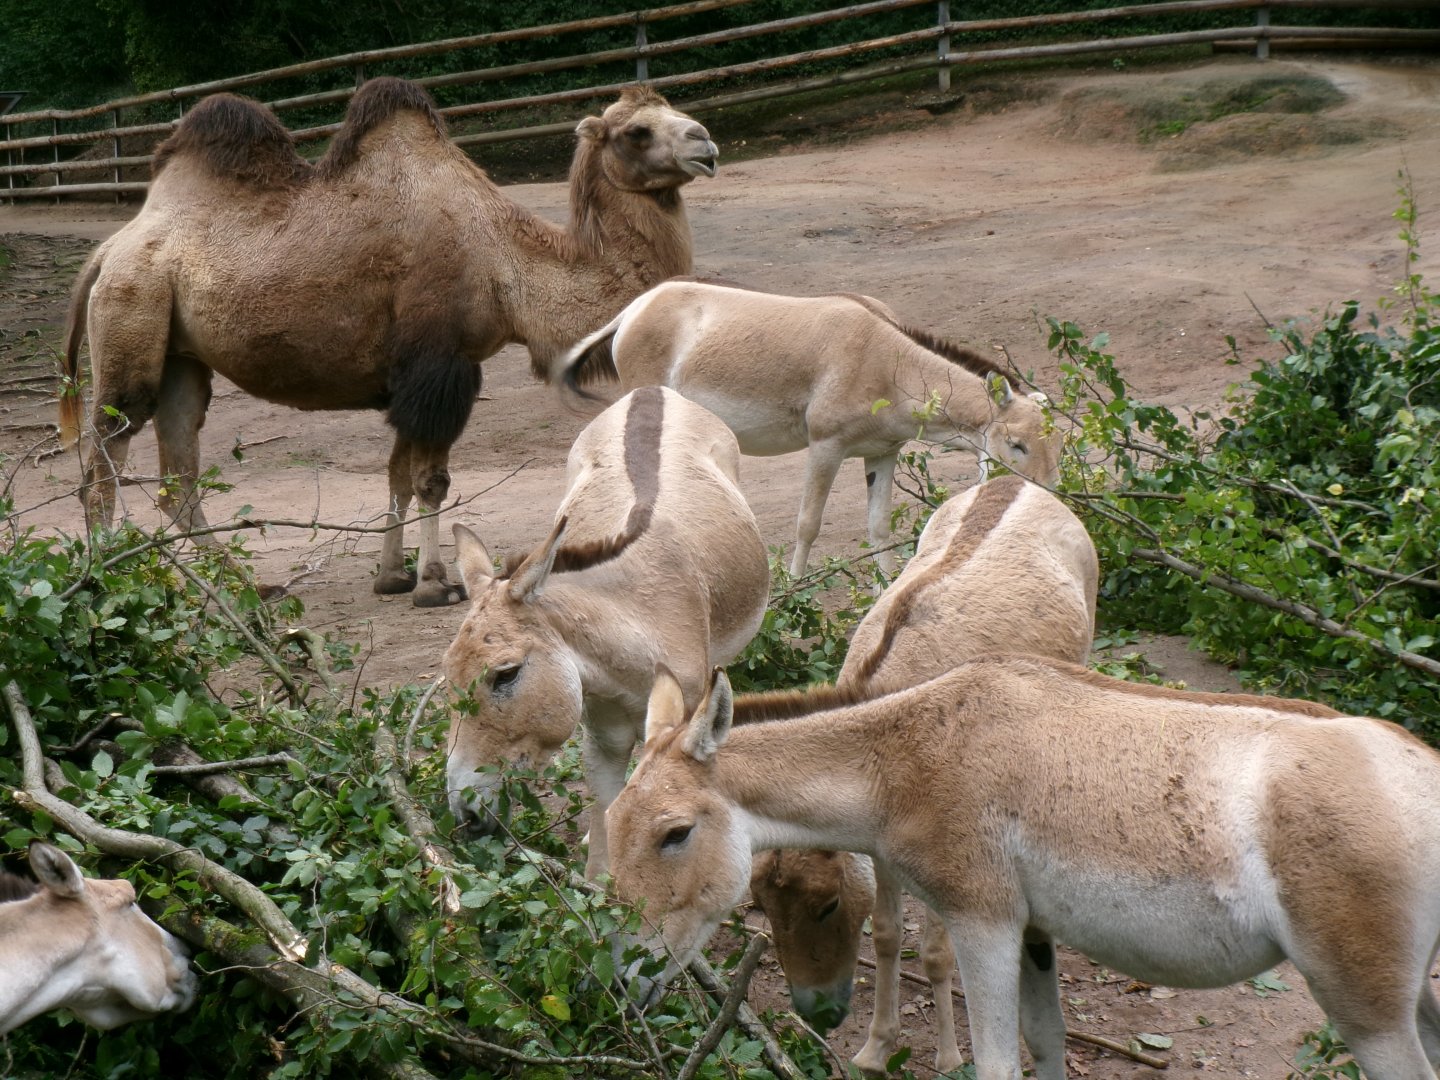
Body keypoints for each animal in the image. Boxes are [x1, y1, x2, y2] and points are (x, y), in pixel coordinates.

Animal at [59, 77, 718, 606]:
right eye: (636, 131)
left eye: (674, 111)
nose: (706, 145)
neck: (504, 264)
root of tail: (108, 249)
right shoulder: (441, 365)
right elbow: (429, 479)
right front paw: (435, 584)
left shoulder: (411, 376)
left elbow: (398, 472)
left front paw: (392, 577)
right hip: (133, 307)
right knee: (106, 452)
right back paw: (108, 582)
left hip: (180, 355)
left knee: (177, 472)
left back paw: (243, 588)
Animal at [443, 386, 768, 877]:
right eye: (447, 677)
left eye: (506, 674)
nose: (463, 815)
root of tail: (652, 390)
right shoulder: (601, 729)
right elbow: (604, 821)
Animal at [556, 278, 1062, 575]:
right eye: (1017, 444)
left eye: (1058, 444)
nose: (1049, 503)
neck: (889, 362)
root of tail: (634, 309)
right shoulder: (825, 446)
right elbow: (807, 525)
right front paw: (793, 593)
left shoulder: (883, 451)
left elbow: (879, 528)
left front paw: (887, 590)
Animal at [606, 664, 1440, 1080]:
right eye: (609, 827)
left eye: (676, 833)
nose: (621, 979)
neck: (903, 761)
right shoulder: (1036, 934)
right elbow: (1044, 1049)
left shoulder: (984, 924)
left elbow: (997, 1065)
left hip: (1366, 1008)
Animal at [748, 475, 1098, 1074]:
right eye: (762, 907)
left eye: (827, 904)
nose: (816, 1013)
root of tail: (1016, 481)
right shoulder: (877, 835)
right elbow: (887, 935)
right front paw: (874, 1048)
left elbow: (936, 953)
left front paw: (949, 1056)